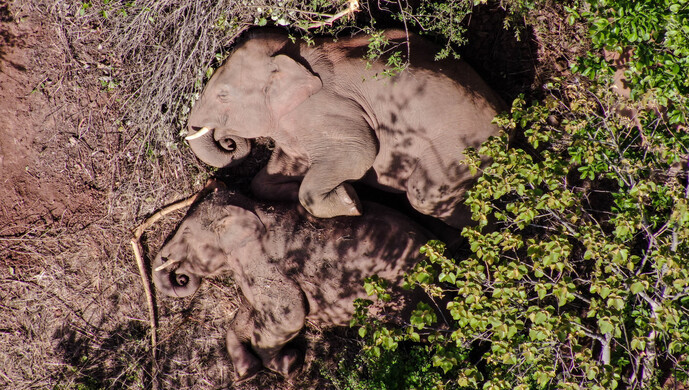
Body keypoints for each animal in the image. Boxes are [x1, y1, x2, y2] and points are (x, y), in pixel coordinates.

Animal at [154, 184, 438, 380]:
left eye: (185, 233)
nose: (180, 275)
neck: (251, 206)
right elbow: (251, 311)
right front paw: (247, 371)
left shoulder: (263, 261)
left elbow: (290, 314)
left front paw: (289, 364)